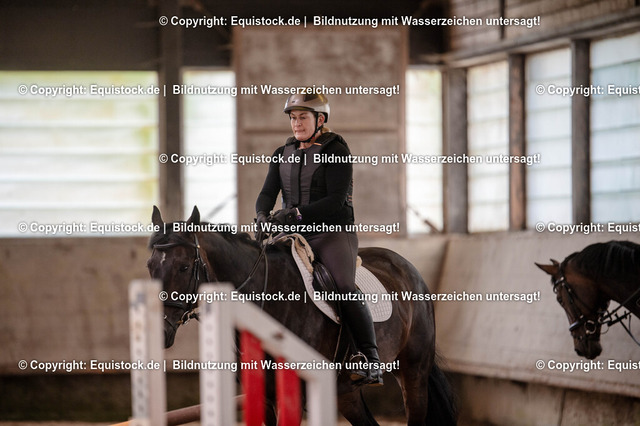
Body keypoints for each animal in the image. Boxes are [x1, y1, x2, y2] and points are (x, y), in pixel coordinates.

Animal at [146, 206, 457, 426]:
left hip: (413, 372)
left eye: (184, 267)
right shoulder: (266, 396)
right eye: (150, 266)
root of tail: (406, 268)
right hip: (346, 391)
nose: (159, 333)